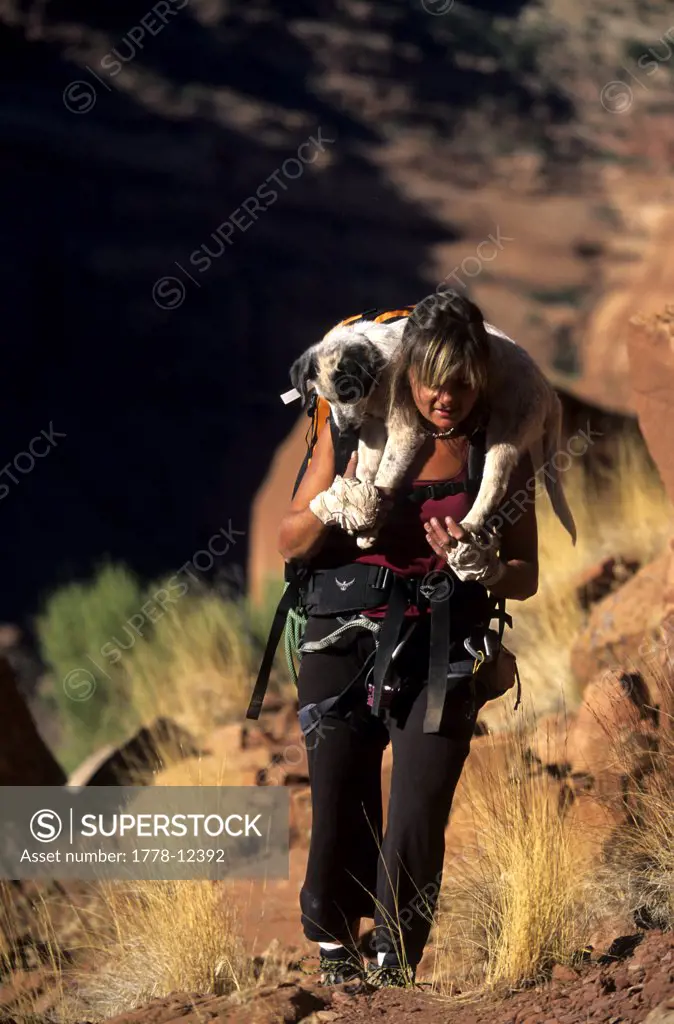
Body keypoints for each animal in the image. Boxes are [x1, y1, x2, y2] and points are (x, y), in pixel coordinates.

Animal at [286, 313, 573, 548]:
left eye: (348, 394)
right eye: (327, 399)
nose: (345, 431)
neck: (380, 365)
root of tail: (550, 392)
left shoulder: (405, 431)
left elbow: (385, 474)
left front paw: (371, 528)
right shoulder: (373, 426)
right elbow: (366, 470)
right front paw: (359, 505)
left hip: (505, 433)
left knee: (494, 484)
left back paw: (470, 522)